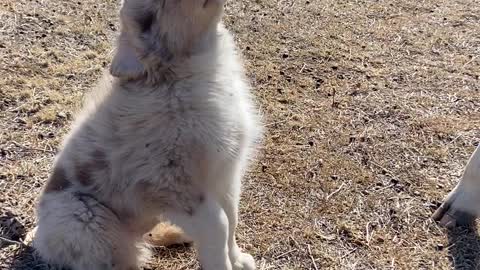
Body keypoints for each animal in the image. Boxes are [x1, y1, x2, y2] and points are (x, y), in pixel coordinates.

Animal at [32, 1, 262, 268]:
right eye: (149, 17)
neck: (177, 81)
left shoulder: (226, 174)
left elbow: (232, 216)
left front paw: (239, 260)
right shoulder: (175, 188)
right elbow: (220, 225)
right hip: (84, 221)